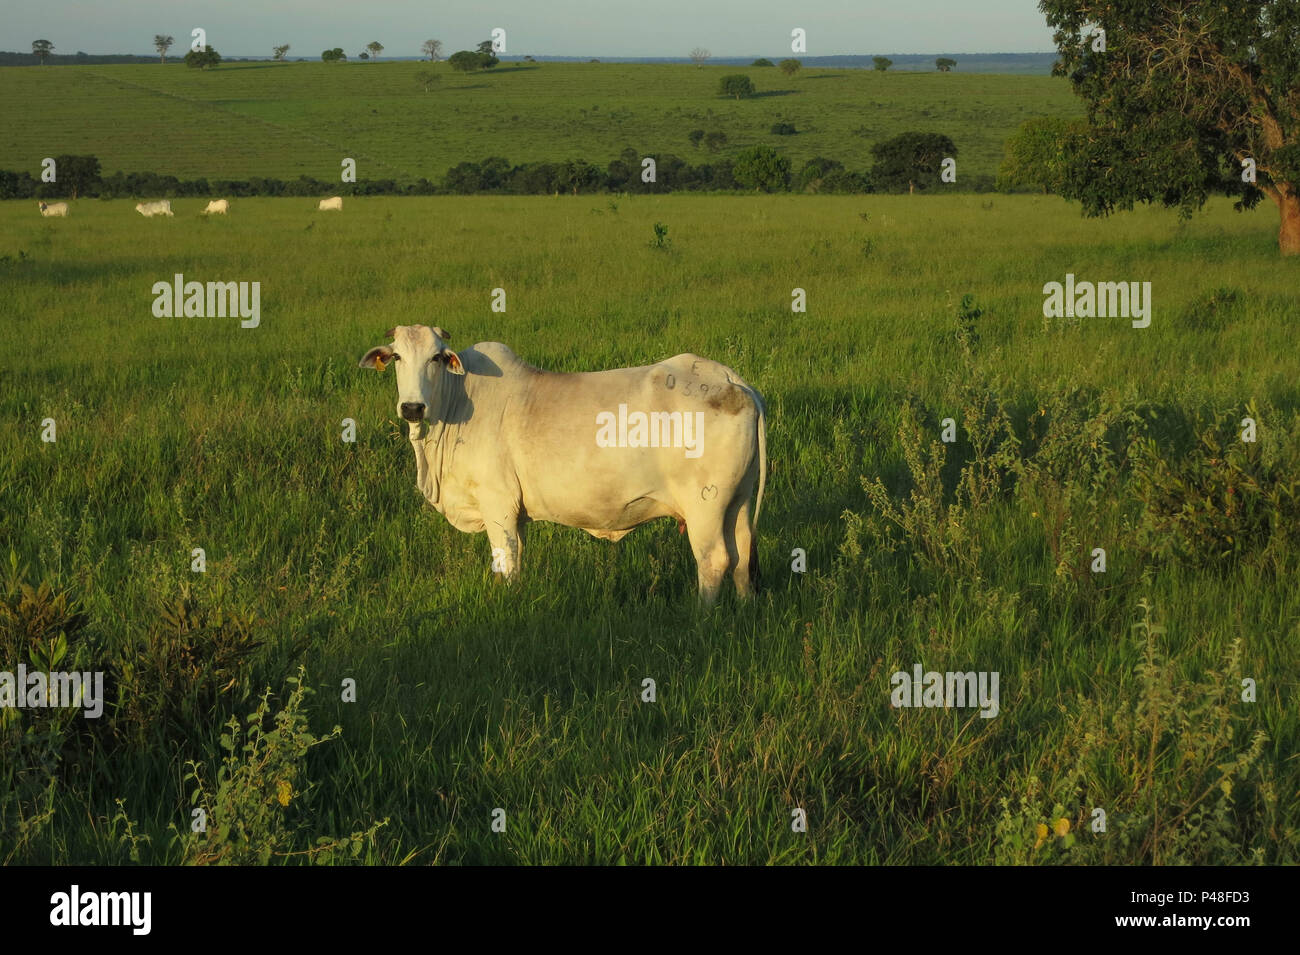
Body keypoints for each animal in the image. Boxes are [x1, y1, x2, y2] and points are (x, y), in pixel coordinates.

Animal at [361, 323, 764, 605]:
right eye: (397, 357)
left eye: (436, 357)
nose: (412, 407)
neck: (458, 401)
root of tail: (730, 379)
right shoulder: (516, 514)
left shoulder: (498, 505)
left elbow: (507, 564)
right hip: (739, 503)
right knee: (742, 557)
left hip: (705, 507)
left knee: (714, 561)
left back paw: (703, 618)